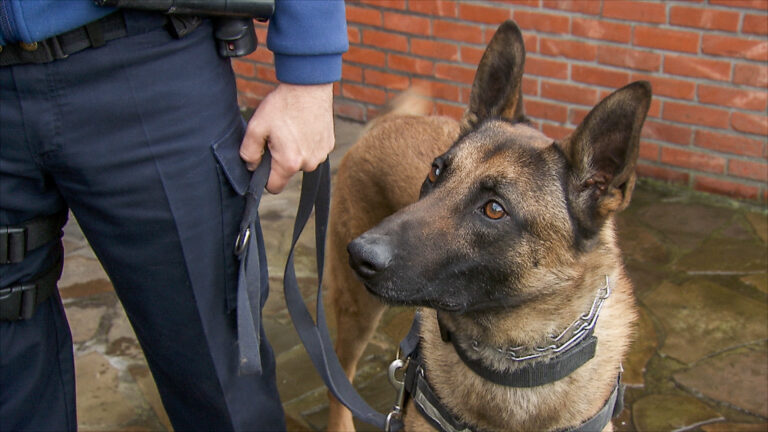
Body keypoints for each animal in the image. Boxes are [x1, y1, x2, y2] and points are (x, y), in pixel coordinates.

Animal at [324, 21, 648, 432]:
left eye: (494, 209)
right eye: (436, 172)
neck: (517, 361)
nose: (359, 253)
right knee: (339, 373)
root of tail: (387, 123)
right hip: (357, 308)